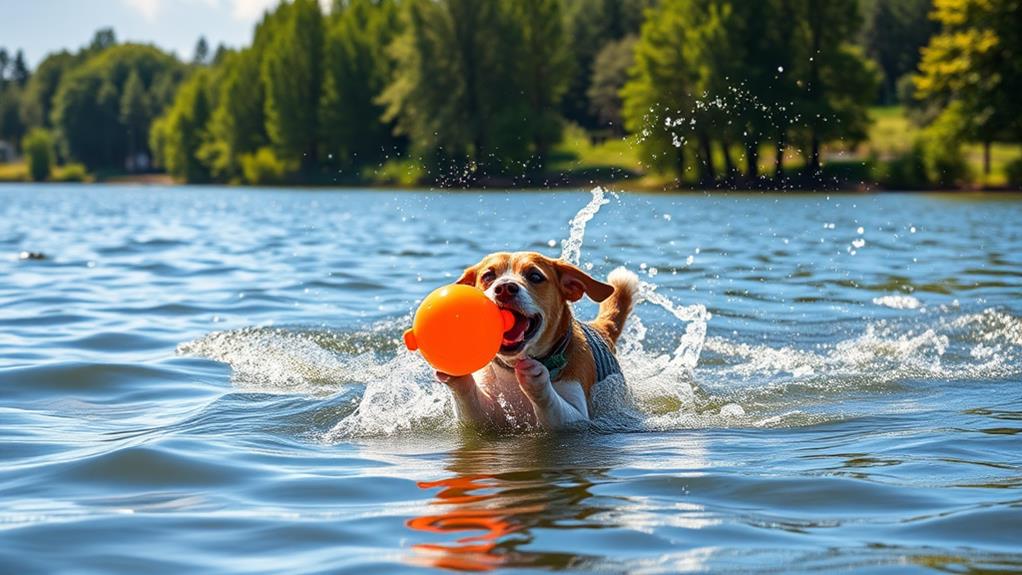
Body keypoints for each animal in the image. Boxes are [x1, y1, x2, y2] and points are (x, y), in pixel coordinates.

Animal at [433, 252, 637, 433]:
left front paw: (537, 380)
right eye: (488, 275)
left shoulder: (577, 417)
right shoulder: (488, 416)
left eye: (535, 276)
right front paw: (457, 375)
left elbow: (555, 406)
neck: (512, 370)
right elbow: (474, 408)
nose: (505, 288)